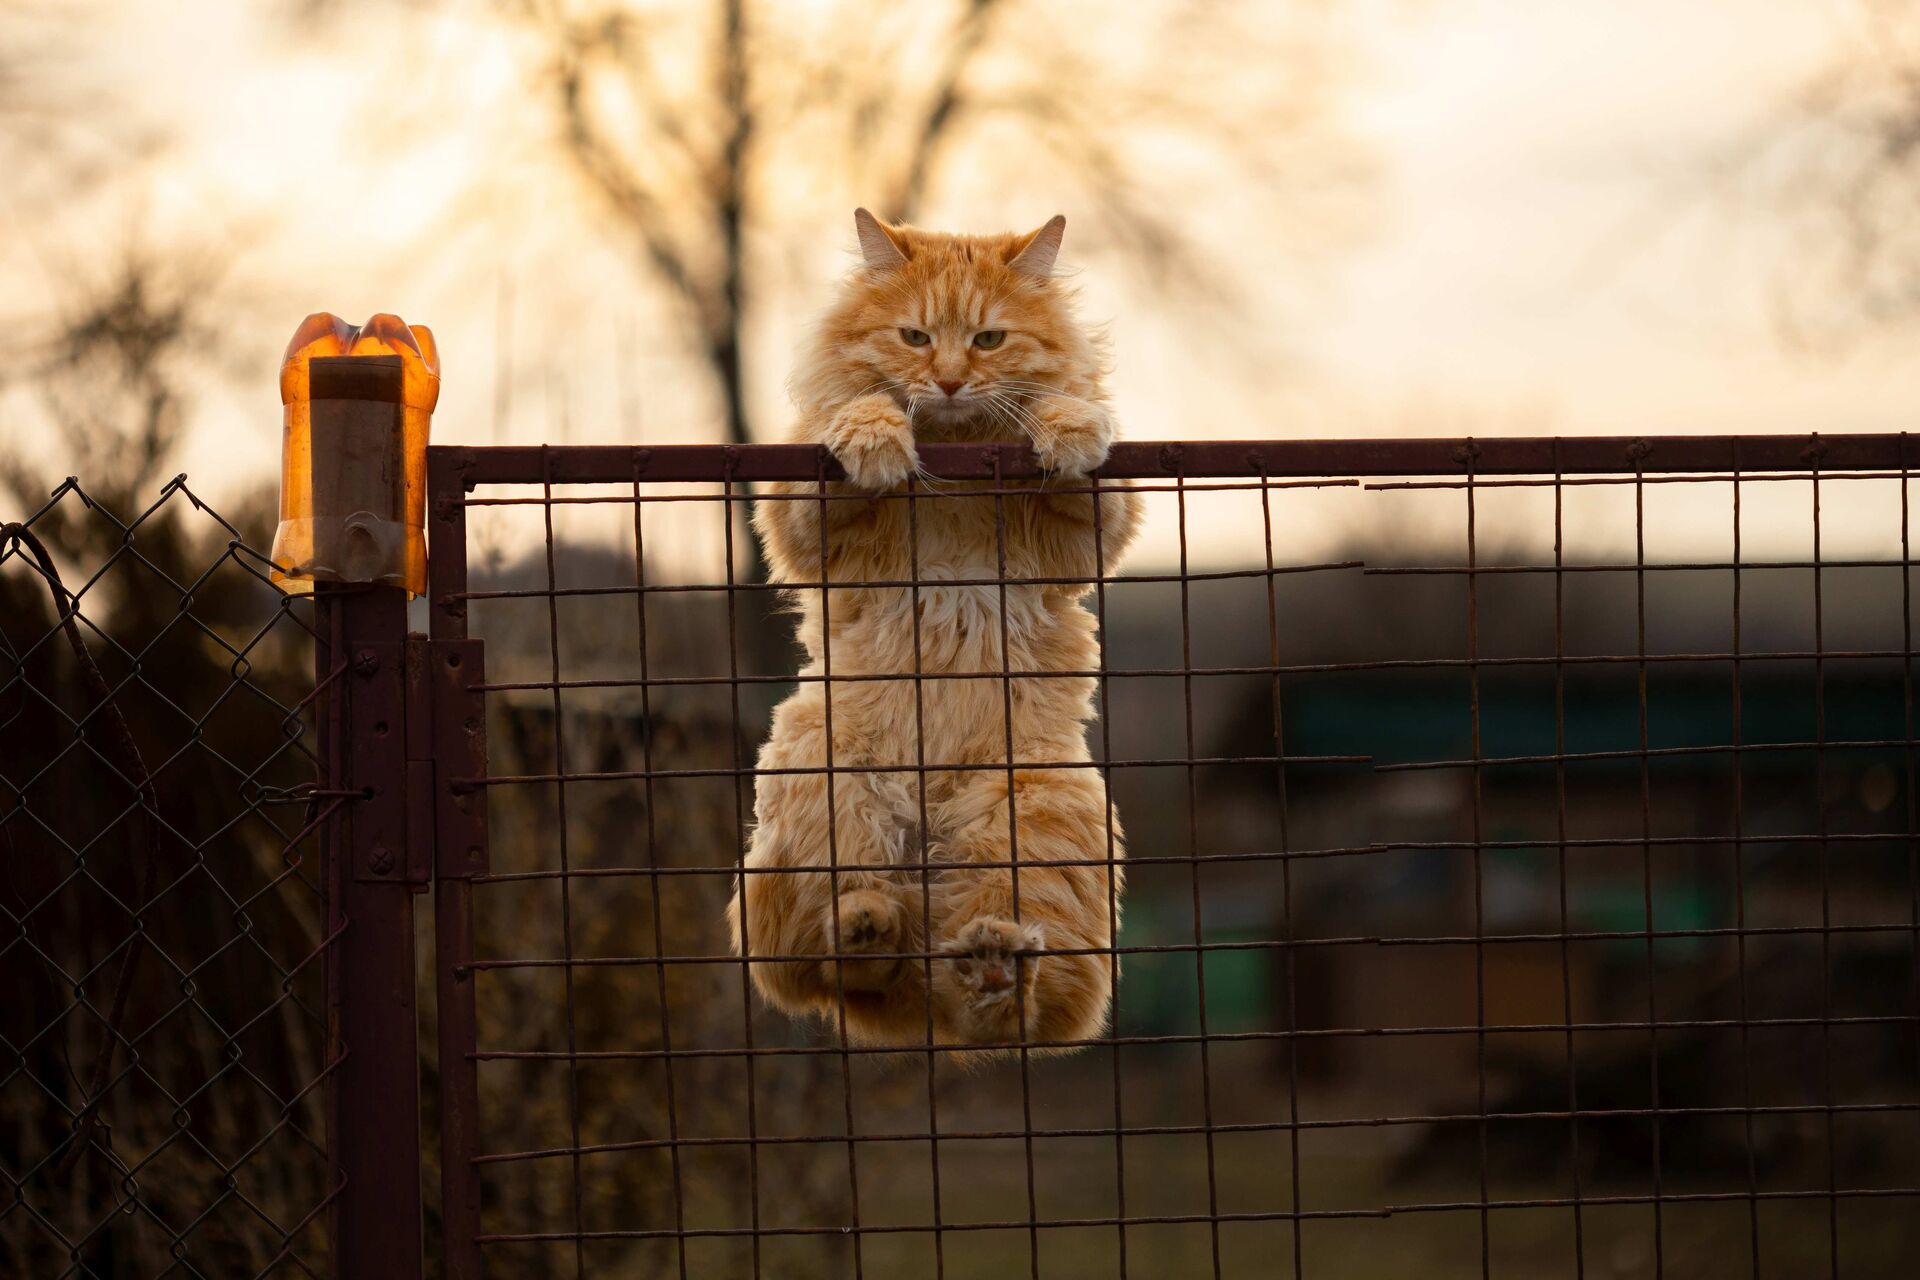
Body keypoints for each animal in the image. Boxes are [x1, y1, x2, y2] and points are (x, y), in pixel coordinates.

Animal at [725, 208, 1128, 1051]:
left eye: (988, 340)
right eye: (913, 337)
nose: (944, 381)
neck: (955, 461)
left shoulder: (1083, 542)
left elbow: (1075, 447)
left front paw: (1070, 429)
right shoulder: (801, 527)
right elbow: (849, 426)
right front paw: (877, 442)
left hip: (1041, 807)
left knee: (1021, 1002)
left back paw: (991, 966)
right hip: (822, 784)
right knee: (830, 962)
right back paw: (871, 924)